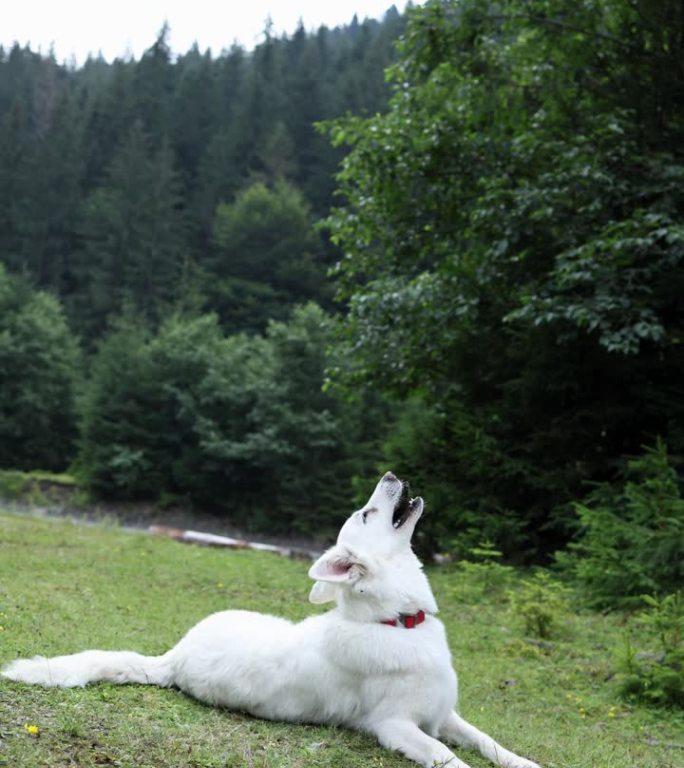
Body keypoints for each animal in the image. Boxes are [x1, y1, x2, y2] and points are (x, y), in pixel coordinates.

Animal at [1, 474, 540, 768]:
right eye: (367, 514)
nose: (390, 474)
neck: (394, 622)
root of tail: (173, 658)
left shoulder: (444, 715)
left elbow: (489, 742)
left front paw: (524, 759)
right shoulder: (399, 727)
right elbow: (453, 758)